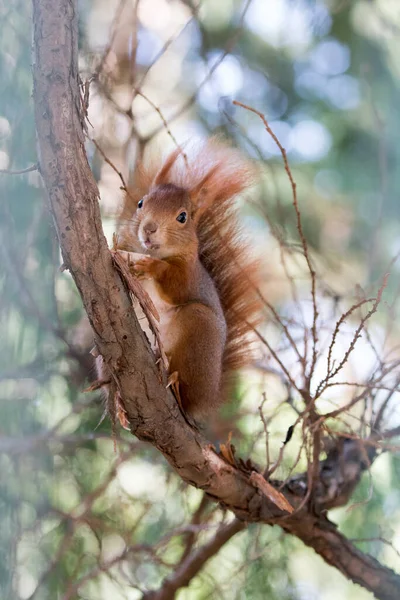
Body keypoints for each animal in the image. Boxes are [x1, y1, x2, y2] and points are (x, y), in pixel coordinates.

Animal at [103, 138, 260, 424]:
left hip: (198, 328)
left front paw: (151, 267)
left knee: (186, 395)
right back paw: (120, 401)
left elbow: (174, 284)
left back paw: (174, 383)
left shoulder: (188, 275)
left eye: (182, 217)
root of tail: (210, 397)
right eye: (141, 203)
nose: (149, 228)